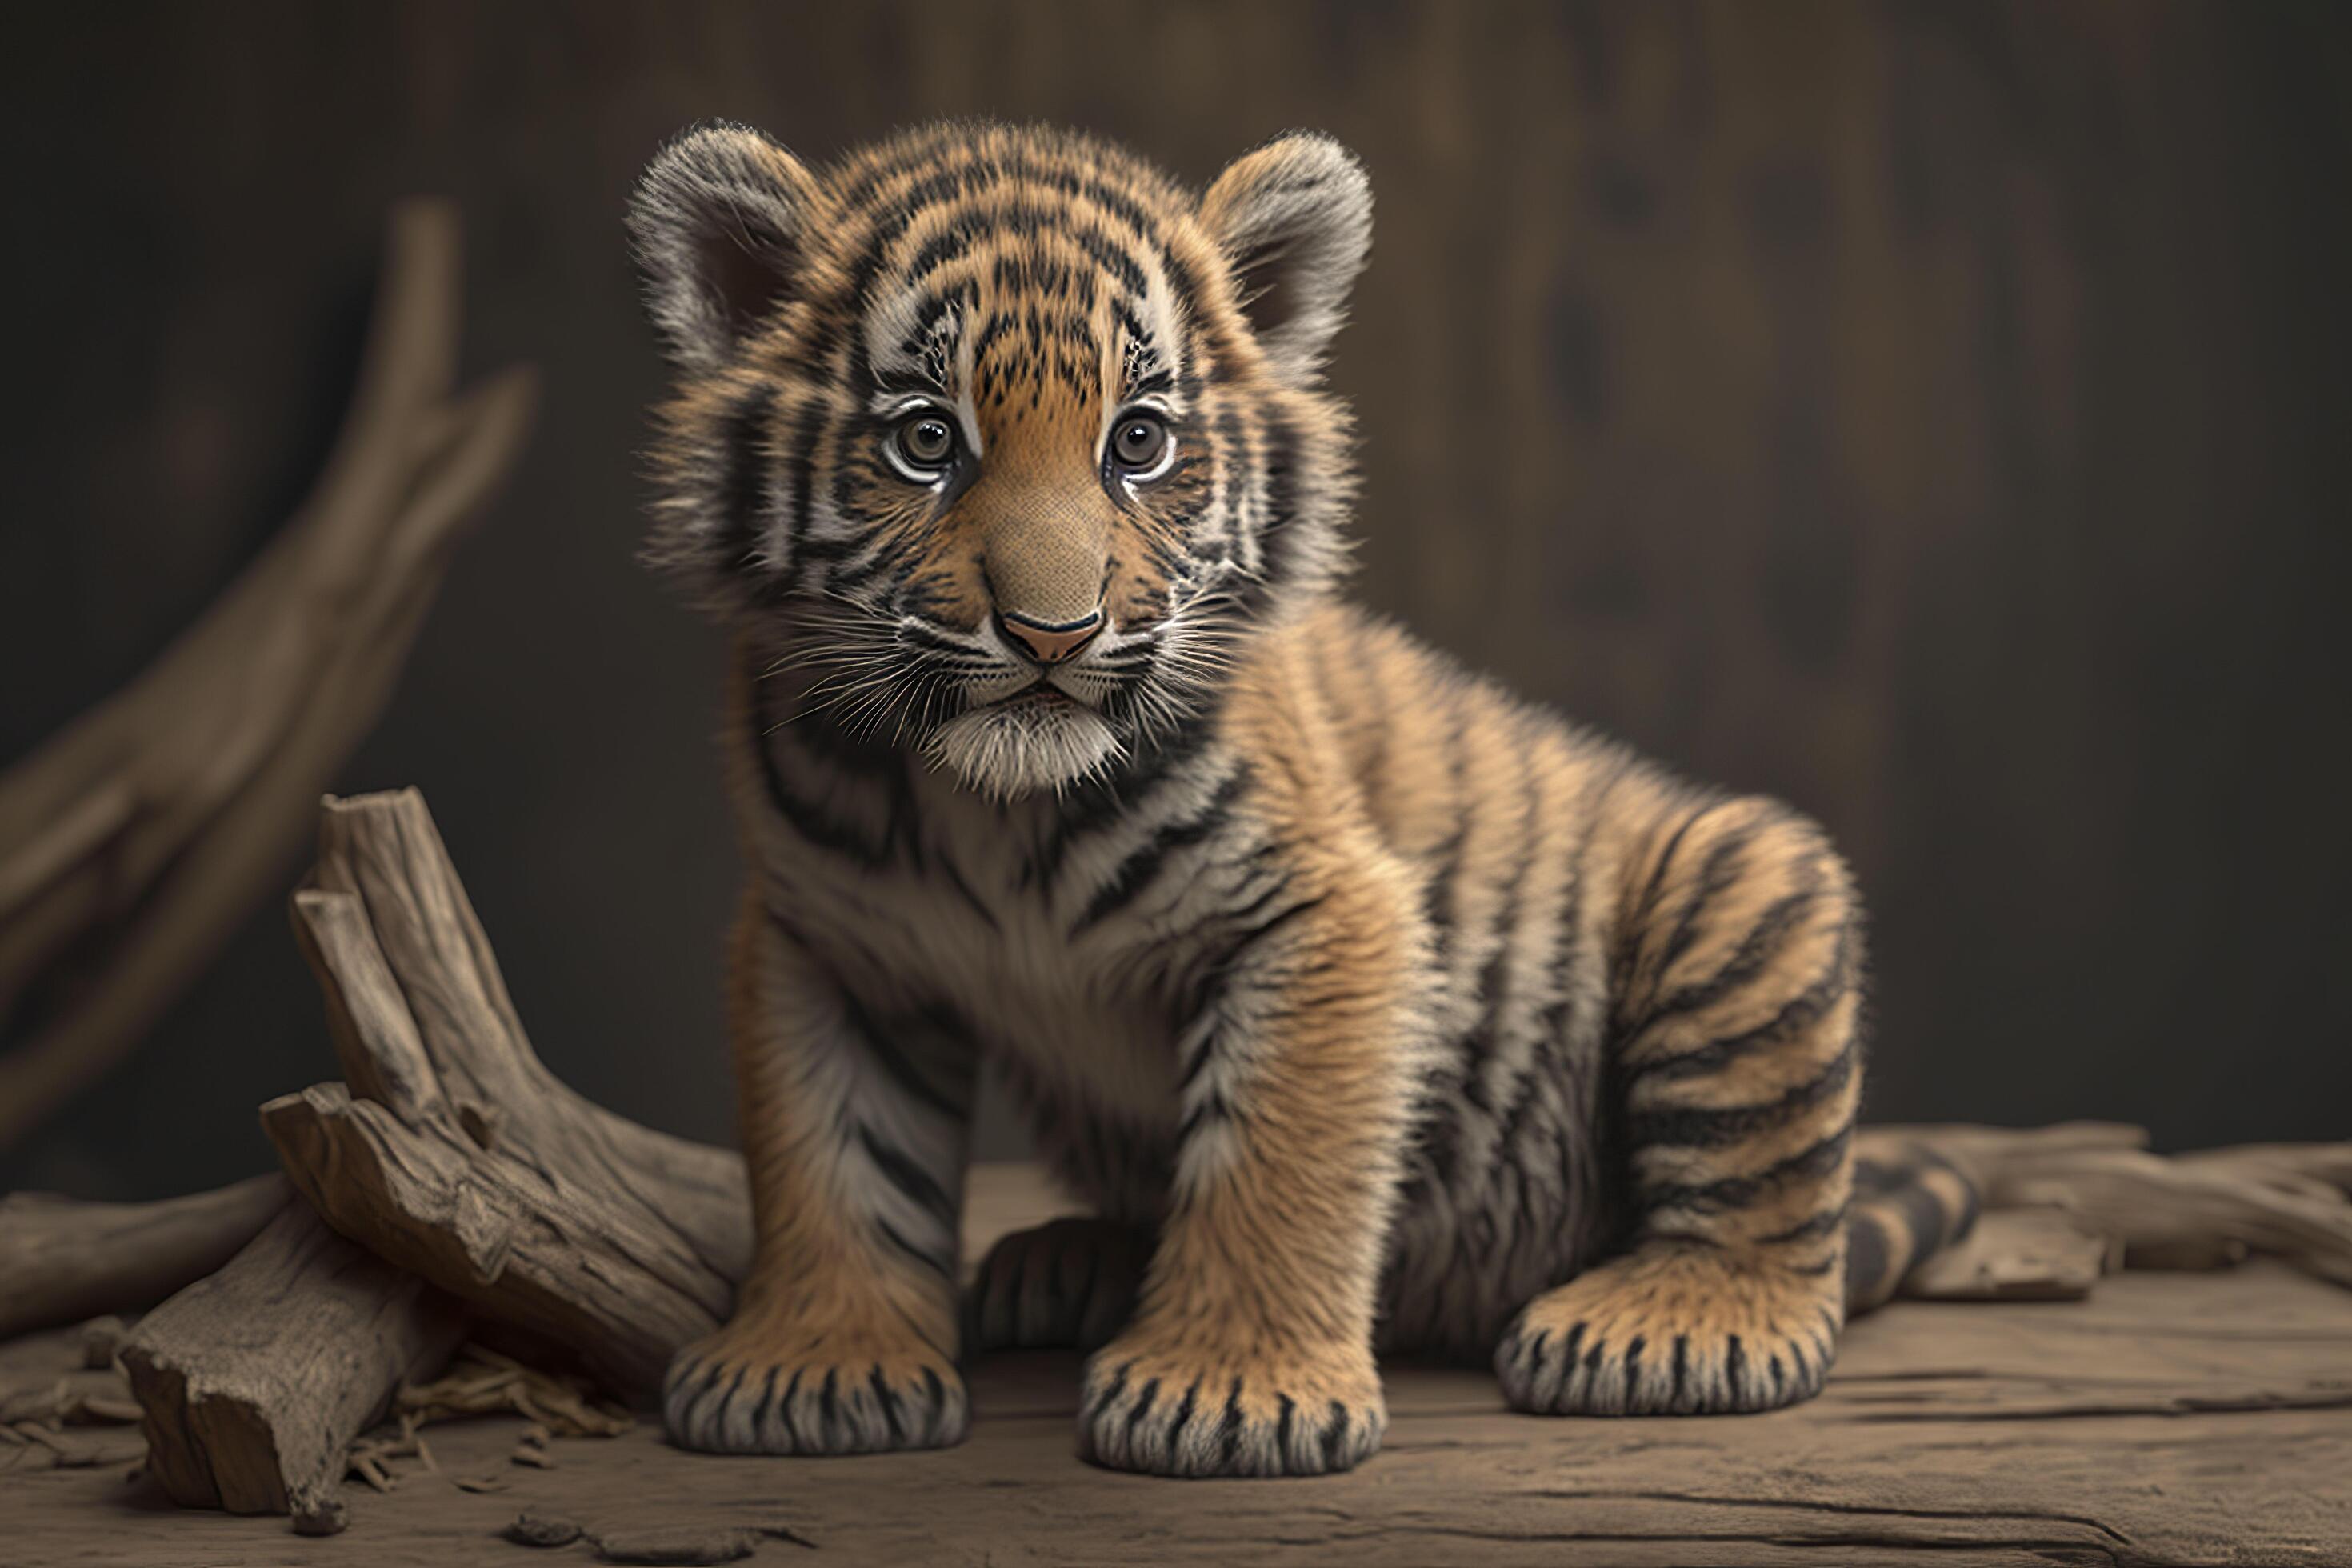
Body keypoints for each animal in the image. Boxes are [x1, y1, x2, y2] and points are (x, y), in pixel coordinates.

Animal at [628, 118, 1920, 1479]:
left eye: (1138, 442)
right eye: (926, 442)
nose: (1053, 634)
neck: (993, 806)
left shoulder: (1328, 913)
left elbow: (1274, 1156)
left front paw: (1230, 1390)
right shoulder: (822, 942)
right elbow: (832, 1158)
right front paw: (812, 1366)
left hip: (1743, 880)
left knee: (1766, 1202)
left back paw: (1671, 1322)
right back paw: (1066, 1265)